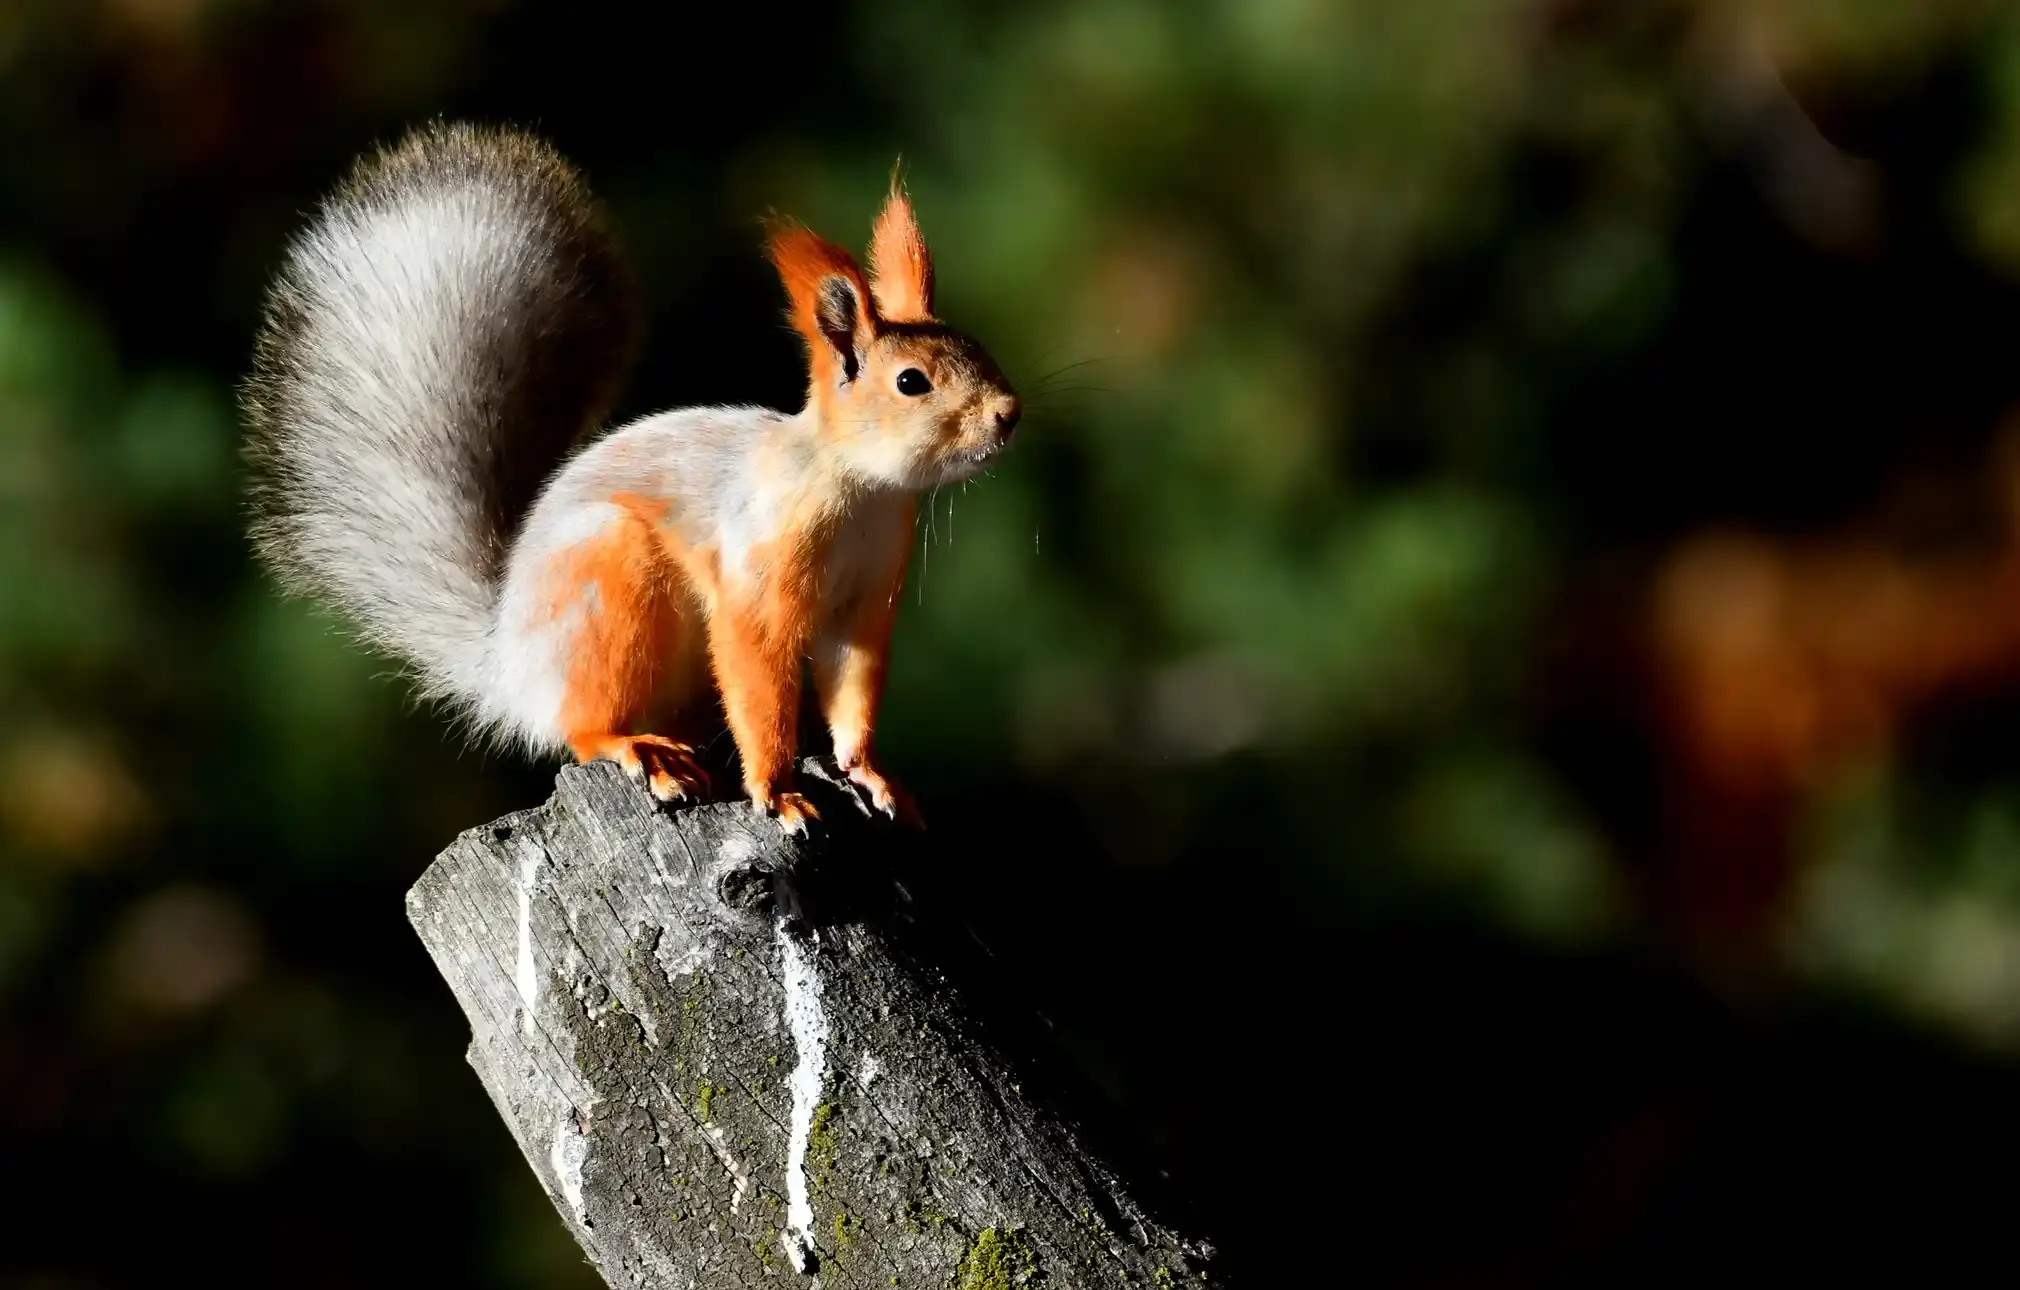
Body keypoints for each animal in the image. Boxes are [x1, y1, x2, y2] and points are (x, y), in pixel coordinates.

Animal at [244, 122, 1020, 835]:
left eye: (979, 347)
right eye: (911, 382)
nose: (1009, 415)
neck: (861, 491)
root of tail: (507, 666)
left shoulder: (864, 603)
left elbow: (852, 691)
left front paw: (870, 774)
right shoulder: (755, 577)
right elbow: (759, 683)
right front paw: (777, 792)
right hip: (612, 583)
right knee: (581, 729)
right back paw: (639, 749)